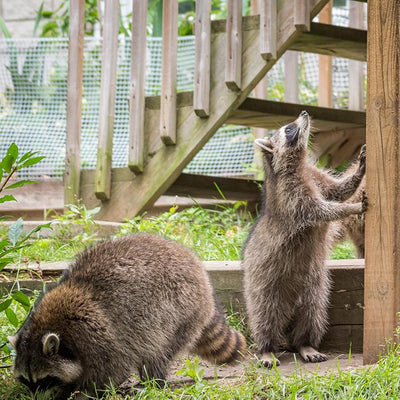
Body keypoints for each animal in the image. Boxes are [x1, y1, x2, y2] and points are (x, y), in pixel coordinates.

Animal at [8, 233, 247, 398]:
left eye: (45, 380)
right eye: (26, 381)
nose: (34, 398)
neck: (50, 324)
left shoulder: (97, 334)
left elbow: (112, 370)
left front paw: (84, 392)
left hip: (180, 309)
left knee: (157, 350)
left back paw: (152, 382)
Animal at [242, 111, 368, 368]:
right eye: (289, 129)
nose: (304, 113)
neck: (297, 164)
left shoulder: (316, 177)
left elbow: (339, 191)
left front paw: (359, 171)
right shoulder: (292, 197)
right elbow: (324, 210)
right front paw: (350, 208)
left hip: (315, 286)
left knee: (313, 313)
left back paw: (305, 343)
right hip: (261, 281)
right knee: (264, 314)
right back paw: (266, 347)